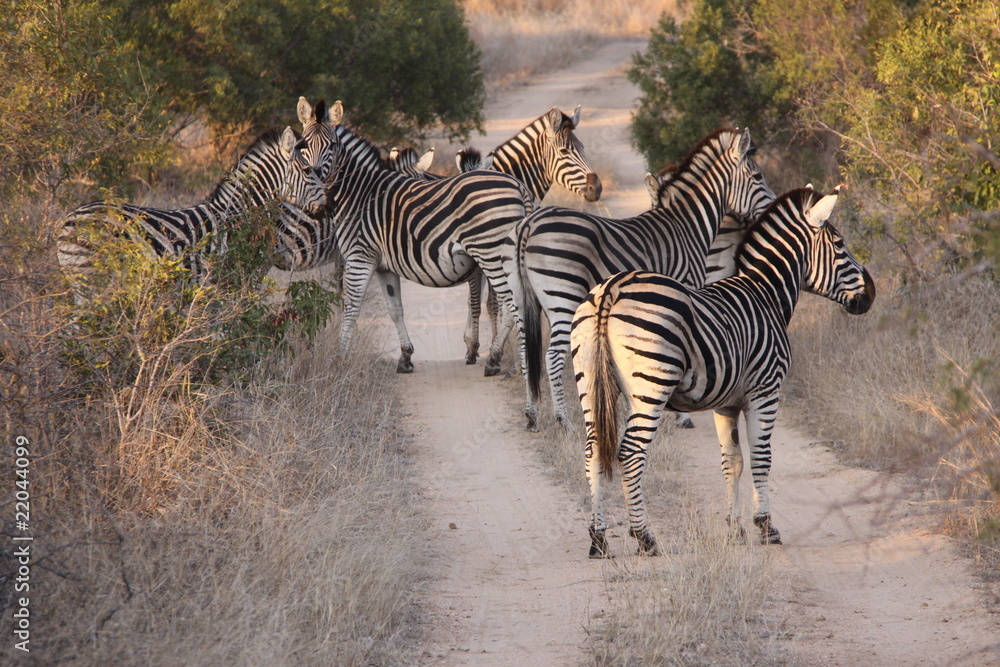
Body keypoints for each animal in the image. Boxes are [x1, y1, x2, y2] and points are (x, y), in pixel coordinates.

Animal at [323, 120, 535, 373]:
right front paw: (472, 347)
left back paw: (503, 358)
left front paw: (476, 348)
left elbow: (481, 303)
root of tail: (521, 188)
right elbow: (477, 302)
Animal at [506, 128, 775, 430]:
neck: (688, 226)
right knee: (552, 357)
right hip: (563, 296)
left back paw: (532, 416)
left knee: (526, 353)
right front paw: (682, 416)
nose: (773, 206)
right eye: (757, 177)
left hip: (520, 298)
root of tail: (529, 224)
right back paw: (564, 421)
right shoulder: (685, 291)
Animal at [570, 186, 876, 558]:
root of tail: (611, 290)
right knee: (630, 452)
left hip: (590, 382)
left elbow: (733, 461)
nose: (872, 294)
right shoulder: (765, 391)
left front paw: (735, 529)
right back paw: (645, 537)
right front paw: (765, 527)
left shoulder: (725, 402)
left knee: (594, 450)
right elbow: (761, 458)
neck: (766, 295)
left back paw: (598, 538)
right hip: (652, 386)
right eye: (840, 244)